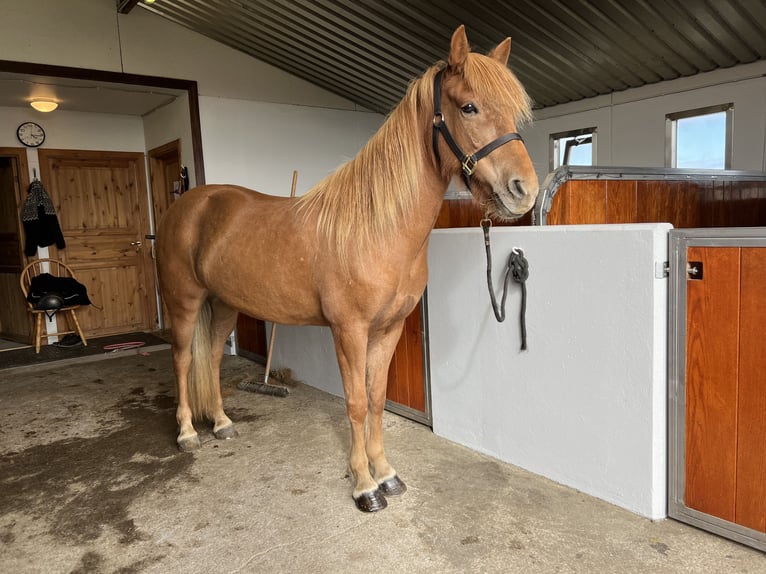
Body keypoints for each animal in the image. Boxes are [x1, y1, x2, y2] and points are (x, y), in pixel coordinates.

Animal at [156, 24, 540, 516]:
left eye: (513, 111)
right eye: (469, 106)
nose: (524, 191)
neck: (377, 229)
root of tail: (189, 203)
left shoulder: (388, 328)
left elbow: (376, 399)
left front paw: (387, 474)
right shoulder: (349, 331)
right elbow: (356, 404)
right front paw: (364, 486)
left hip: (223, 305)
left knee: (212, 360)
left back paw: (221, 423)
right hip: (185, 302)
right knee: (183, 359)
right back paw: (188, 433)